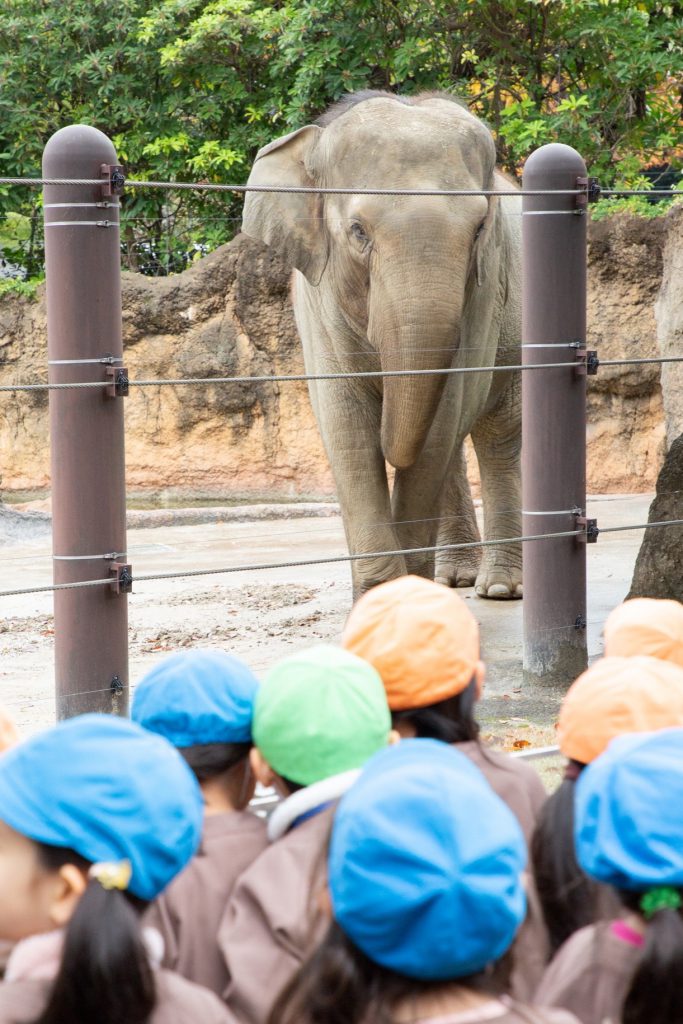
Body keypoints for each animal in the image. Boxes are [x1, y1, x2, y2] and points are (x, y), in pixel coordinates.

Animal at [241, 90, 524, 598]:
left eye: (478, 230)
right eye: (358, 231)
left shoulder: (484, 292)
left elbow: (438, 428)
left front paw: (403, 602)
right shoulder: (316, 301)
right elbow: (347, 426)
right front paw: (380, 598)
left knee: (496, 436)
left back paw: (498, 589)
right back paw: (456, 579)